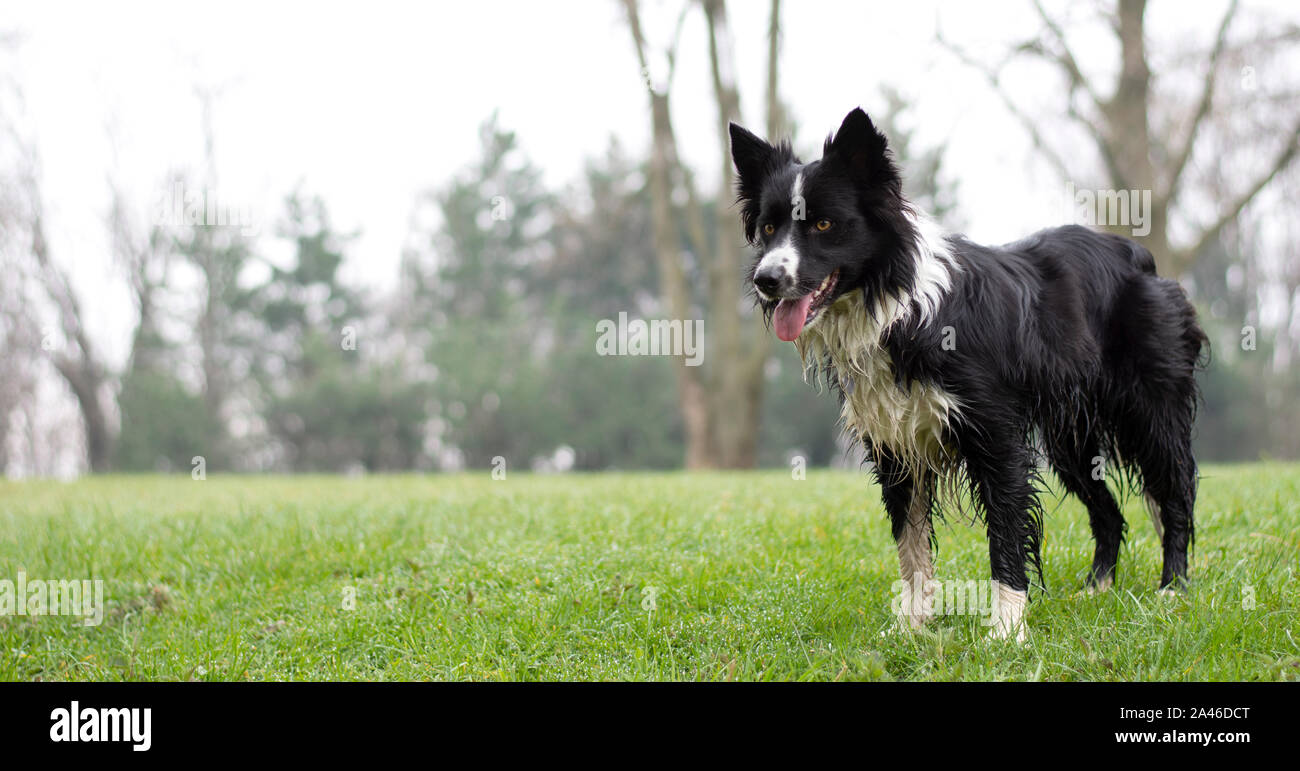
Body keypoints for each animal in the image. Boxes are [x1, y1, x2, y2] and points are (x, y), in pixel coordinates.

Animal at [733, 106, 1206, 637]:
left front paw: (1007, 630)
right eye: (768, 229)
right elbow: (911, 546)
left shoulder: (996, 437)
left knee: (1177, 492)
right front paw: (911, 628)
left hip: (1151, 411)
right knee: (1108, 512)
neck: (898, 308)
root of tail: (1141, 257)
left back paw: (1172, 589)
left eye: (823, 223)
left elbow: (1005, 534)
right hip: (1070, 440)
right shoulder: (896, 445)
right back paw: (1097, 589)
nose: (766, 280)